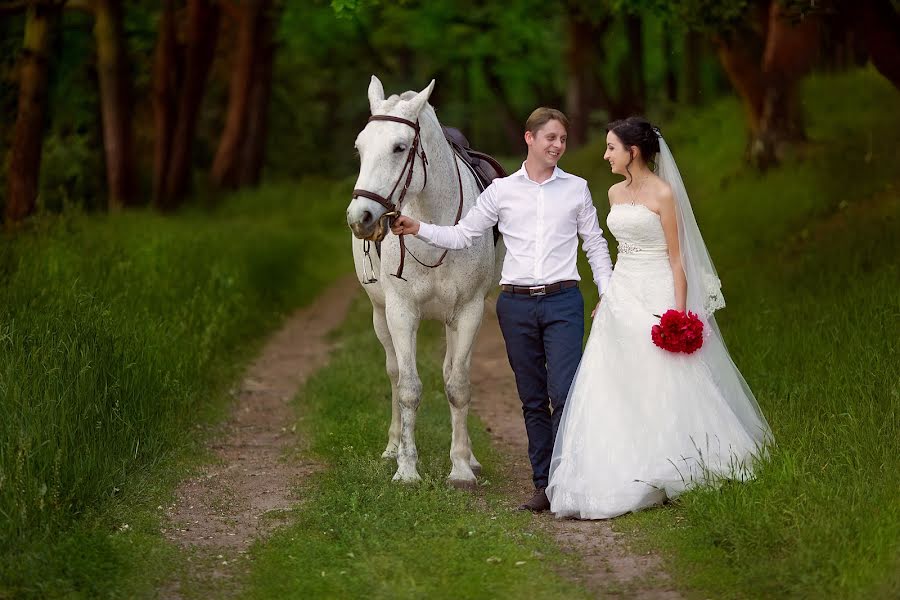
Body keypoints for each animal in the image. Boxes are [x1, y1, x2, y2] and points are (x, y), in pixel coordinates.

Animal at [344, 76, 502, 488]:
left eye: (400, 147)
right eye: (359, 148)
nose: (359, 218)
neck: (434, 222)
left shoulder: (468, 311)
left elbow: (458, 385)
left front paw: (461, 468)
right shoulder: (400, 313)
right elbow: (408, 388)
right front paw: (406, 468)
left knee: (452, 371)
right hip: (379, 314)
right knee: (394, 373)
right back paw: (392, 447)